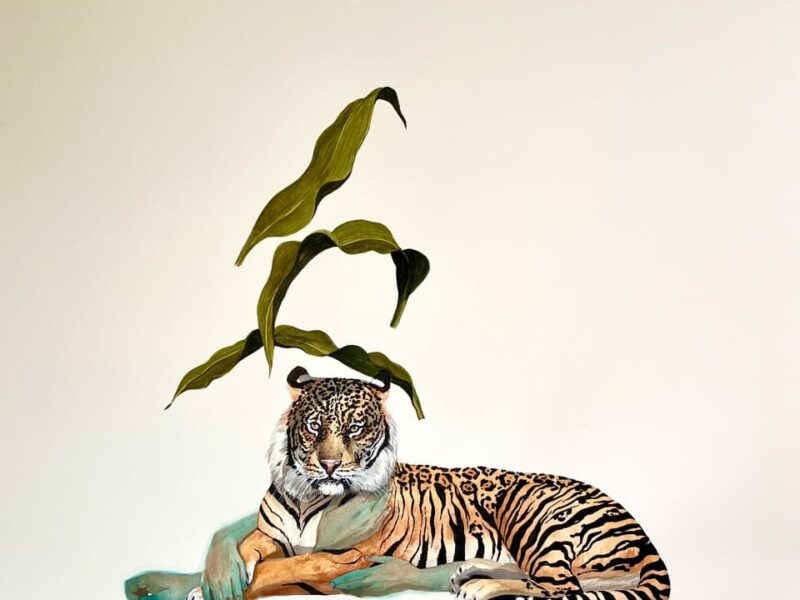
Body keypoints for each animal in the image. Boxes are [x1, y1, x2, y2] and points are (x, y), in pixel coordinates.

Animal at [188, 366, 670, 600]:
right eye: (313, 425)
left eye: (355, 428)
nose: (328, 466)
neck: (310, 500)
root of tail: (635, 525)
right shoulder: (273, 535)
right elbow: (255, 548)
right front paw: (218, 578)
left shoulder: (347, 560)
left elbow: (289, 568)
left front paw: (211, 588)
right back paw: (470, 574)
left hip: (531, 512)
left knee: (564, 589)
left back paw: (480, 586)